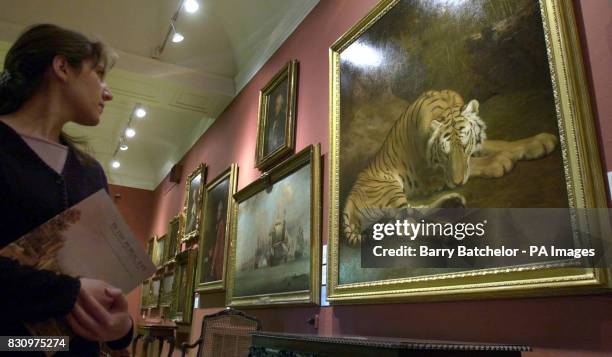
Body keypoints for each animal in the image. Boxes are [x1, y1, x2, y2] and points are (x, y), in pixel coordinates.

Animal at [342, 89, 556, 245]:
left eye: (464, 145)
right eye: (444, 153)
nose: (458, 183)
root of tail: (348, 204)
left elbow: (499, 144)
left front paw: (539, 142)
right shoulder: (430, 172)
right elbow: (476, 163)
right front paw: (500, 161)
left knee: (414, 213)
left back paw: (452, 202)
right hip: (389, 190)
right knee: (407, 227)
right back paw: (446, 234)